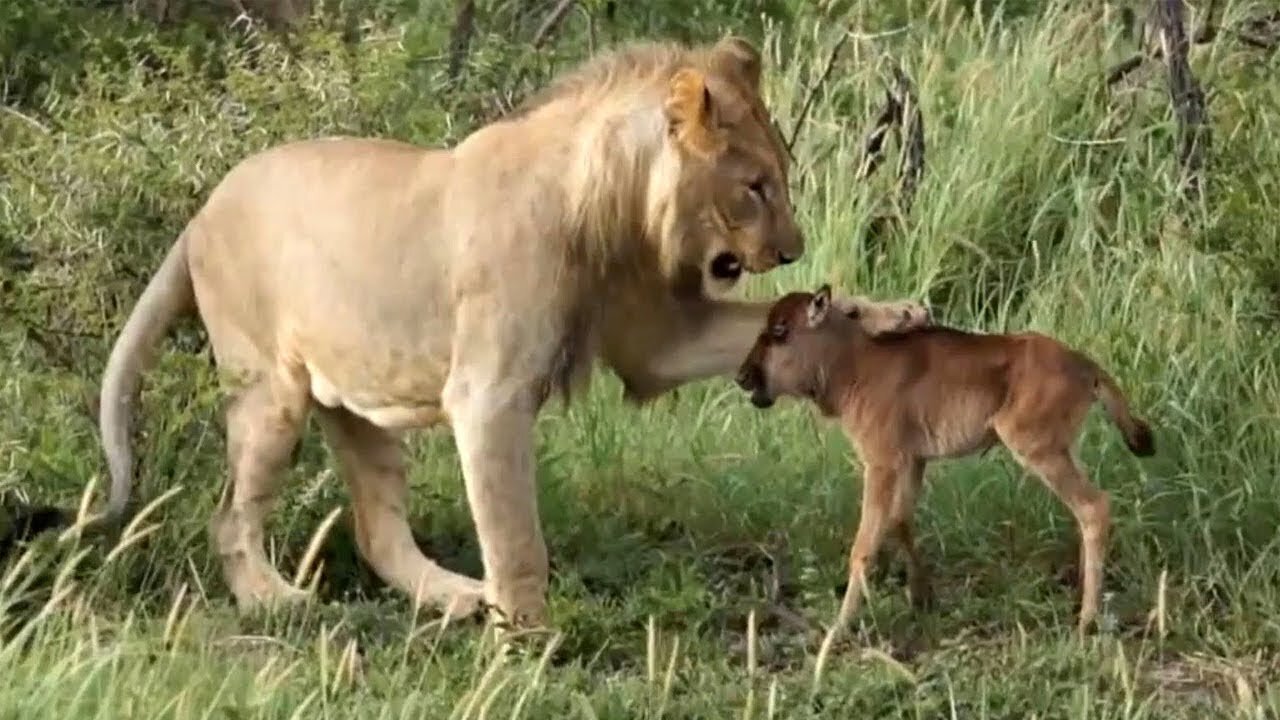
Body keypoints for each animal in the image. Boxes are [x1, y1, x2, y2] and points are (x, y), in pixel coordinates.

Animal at [85, 36, 936, 625]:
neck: (615, 211)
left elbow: (771, 311)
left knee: (376, 528)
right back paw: (277, 601)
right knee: (230, 514)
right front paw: (529, 634)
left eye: (778, 180)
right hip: (270, 391)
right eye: (754, 186)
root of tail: (200, 211)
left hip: (362, 402)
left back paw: (457, 596)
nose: (790, 247)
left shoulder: (659, 341)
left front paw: (891, 313)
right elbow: (516, 531)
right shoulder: (487, 393)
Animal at [732, 283, 1162, 640]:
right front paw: (921, 599)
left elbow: (864, 545)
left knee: (1094, 507)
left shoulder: (881, 464)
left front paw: (840, 627)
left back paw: (1087, 619)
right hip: (1059, 451)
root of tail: (1085, 365)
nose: (743, 376)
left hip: (1038, 450)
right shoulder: (914, 461)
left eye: (780, 331)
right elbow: (900, 521)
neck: (856, 361)